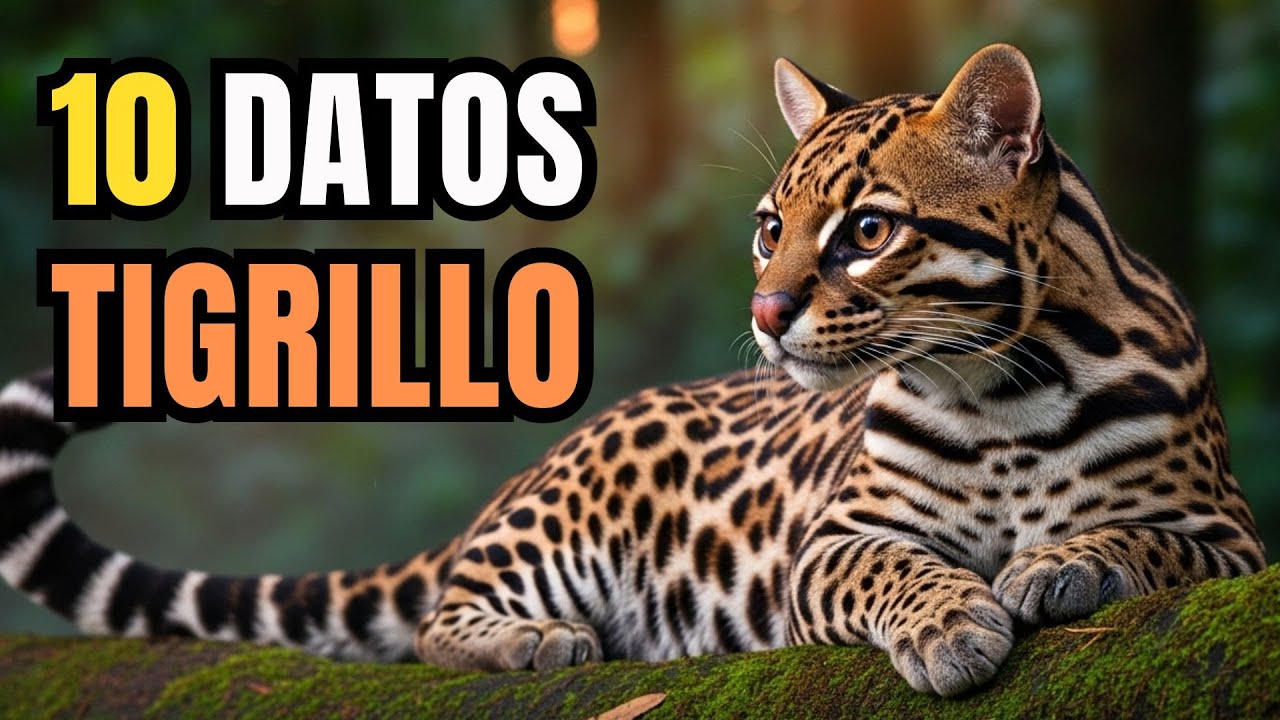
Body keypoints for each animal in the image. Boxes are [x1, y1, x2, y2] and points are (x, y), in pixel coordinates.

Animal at [0, 44, 1262, 696]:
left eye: (866, 230)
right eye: (768, 228)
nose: (765, 311)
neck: (996, 391)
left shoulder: (1225, 536)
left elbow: (1138, 537)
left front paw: (1063, 562)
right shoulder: (832, 542)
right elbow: (890, 568)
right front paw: (952, 623)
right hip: (558, 521)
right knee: (438, 620)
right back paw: (532, 640)